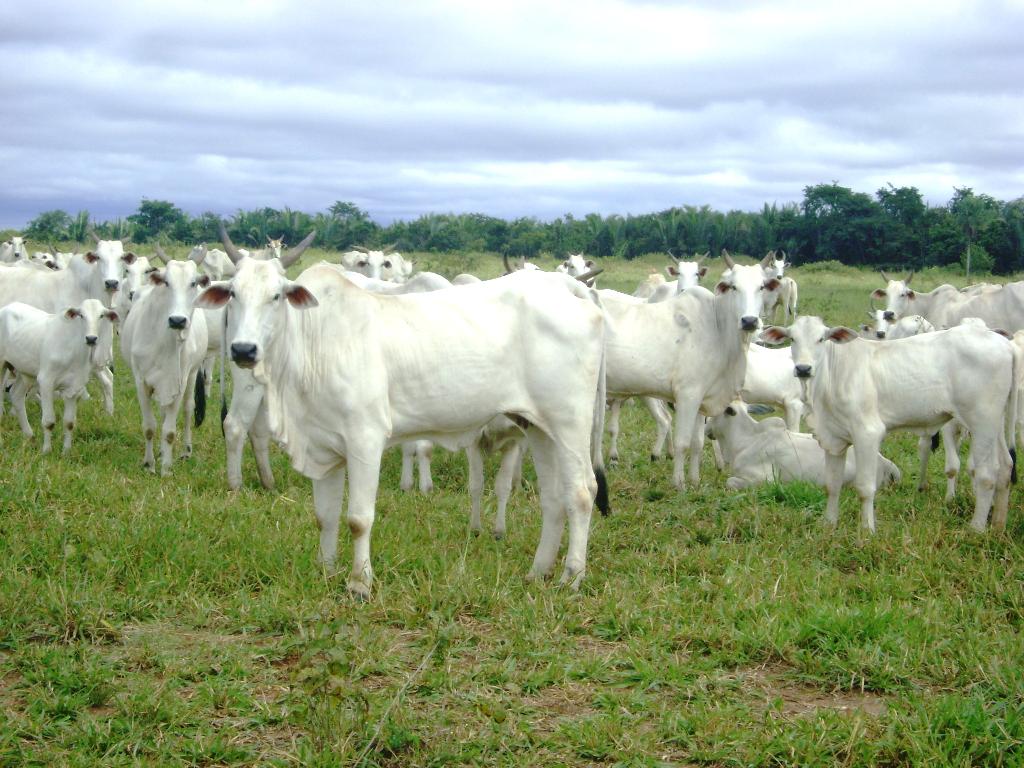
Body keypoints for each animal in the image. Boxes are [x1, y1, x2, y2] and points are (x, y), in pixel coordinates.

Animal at [0, 299, 117, 454]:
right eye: (81, 315)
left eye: (101, 315)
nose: (91, 338)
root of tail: (8, 307)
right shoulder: (46, 382)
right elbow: (49, 422)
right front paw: (46, 451)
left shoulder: (74, 387)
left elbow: (69, 422)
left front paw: (66, 452)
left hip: (26, 373)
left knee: (16, 395)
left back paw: (29, 436)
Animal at [119, 259, 207, 475]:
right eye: (166, 282)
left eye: (193, 283)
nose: (177, 320)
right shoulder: (141, 382)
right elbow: (149, 427)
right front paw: (149, 464)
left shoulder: (179, 382)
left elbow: (169, 431)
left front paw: (166, 468)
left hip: (193, 373)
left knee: (187, 409)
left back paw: (185, 451)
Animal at [197, 262, 606, 598]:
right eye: (233, 293)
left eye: (276, 296)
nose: (243, 350)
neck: (315, 340)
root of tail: (566, 286)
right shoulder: (324, 447)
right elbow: (324, 516)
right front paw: (327, 572)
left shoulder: (365, 439)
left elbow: (358, 519)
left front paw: (359, 583)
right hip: (539, 428)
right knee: (553, 499)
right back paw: (537, 572)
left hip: (570, 423)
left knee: (582, 492)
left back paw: (572, 577)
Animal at [765, 315, 1011, 532]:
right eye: (792, 338)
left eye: (821, 339)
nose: (803, 369)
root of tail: (1003, 343)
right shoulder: (834, 438)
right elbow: (832, 485)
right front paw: (829, 525)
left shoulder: (867, 434)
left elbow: (865, 488)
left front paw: (867, 531)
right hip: (996, 425)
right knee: (1006, 466)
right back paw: (998, 524)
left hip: (982, 423)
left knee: (987, 473)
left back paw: (976, 529)